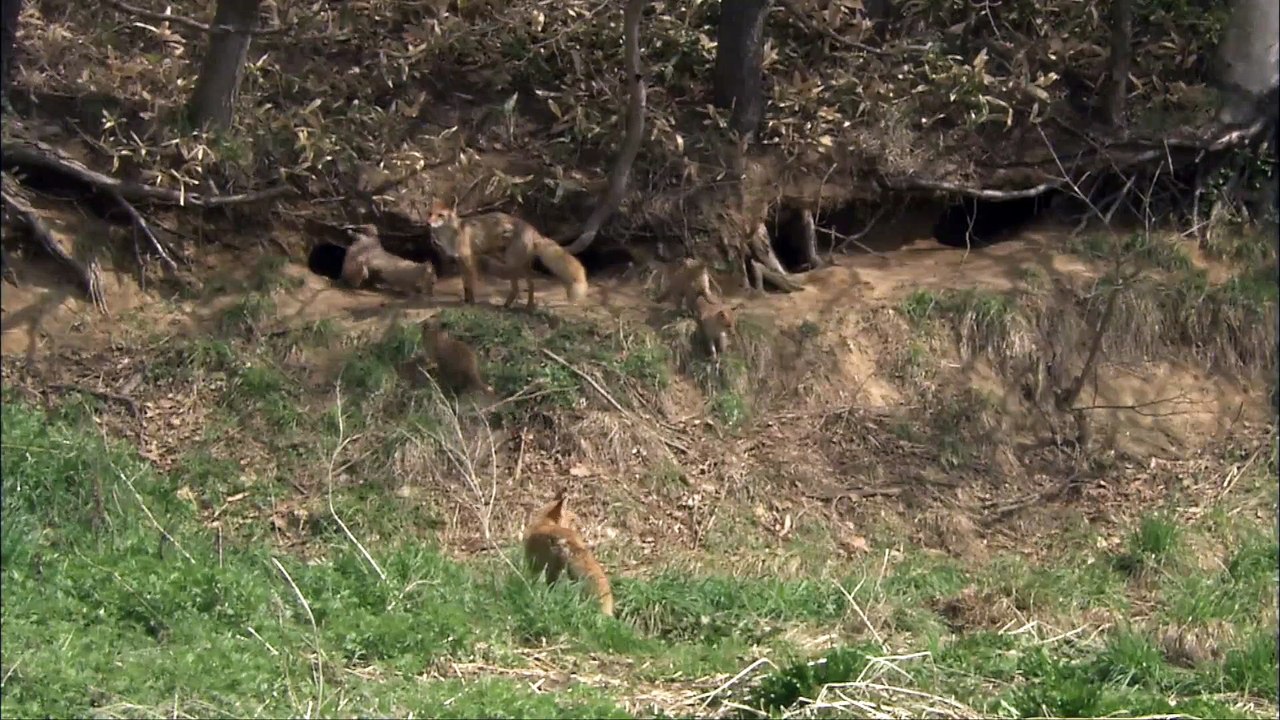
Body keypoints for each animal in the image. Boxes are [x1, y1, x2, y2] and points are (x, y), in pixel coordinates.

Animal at [425, 200, 588, 309]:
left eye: (440, 215)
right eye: (430, 213)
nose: (427, 223)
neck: (452, 235)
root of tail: (532, 229)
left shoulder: (469, 260)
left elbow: (471, 286)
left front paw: (471, 304)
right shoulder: (459, 261)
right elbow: (465, 285)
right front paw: (465, 301)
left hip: (512, 264)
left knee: (520, 287)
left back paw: (513, 306)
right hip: (518, 265)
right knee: (530, 285)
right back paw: (524, 306)